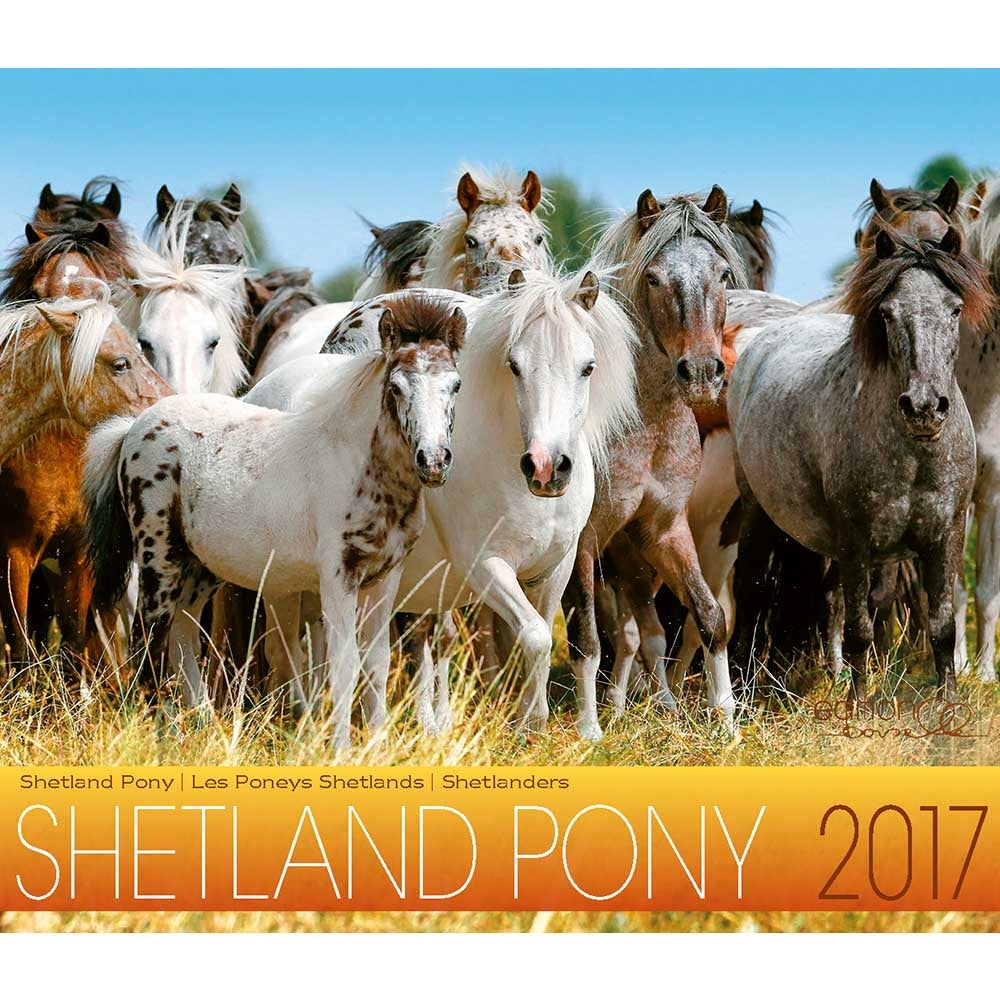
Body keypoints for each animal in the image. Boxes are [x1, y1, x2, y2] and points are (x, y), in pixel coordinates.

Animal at [83, 294, 465, 749]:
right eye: (396, 387)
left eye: (455, 385)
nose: (434, 461)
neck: (359, 465)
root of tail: (131, 430)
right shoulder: (337, 576)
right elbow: (343, 662)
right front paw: (340, 748)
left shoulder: (384, 576)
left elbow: (377, 663)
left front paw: (376, 744)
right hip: (159, 558)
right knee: (149, 639)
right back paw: (159, 731)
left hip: (202, 567)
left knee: (183, 635)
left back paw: (204, 727)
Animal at [560, 187, 747, 741]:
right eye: (654, 278)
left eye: (722, 274)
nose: (703, 372)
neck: (643, 422)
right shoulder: (584, 543)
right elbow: (586, 637)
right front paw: (589, 731)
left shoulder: (662, 532)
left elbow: (708, 617)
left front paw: (727, 722)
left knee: (638, 631)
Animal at [729, 225, 993, 704]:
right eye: (887, 313)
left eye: (955, 308)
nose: (925, 408)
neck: (915, 457)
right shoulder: (855, 540)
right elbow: (859, 630)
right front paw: (859, 707)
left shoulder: (945, 534)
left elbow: (941, 627)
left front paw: (948, 706)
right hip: (758, 511)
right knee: (751, 589)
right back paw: (741, 683)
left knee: (830, 599)